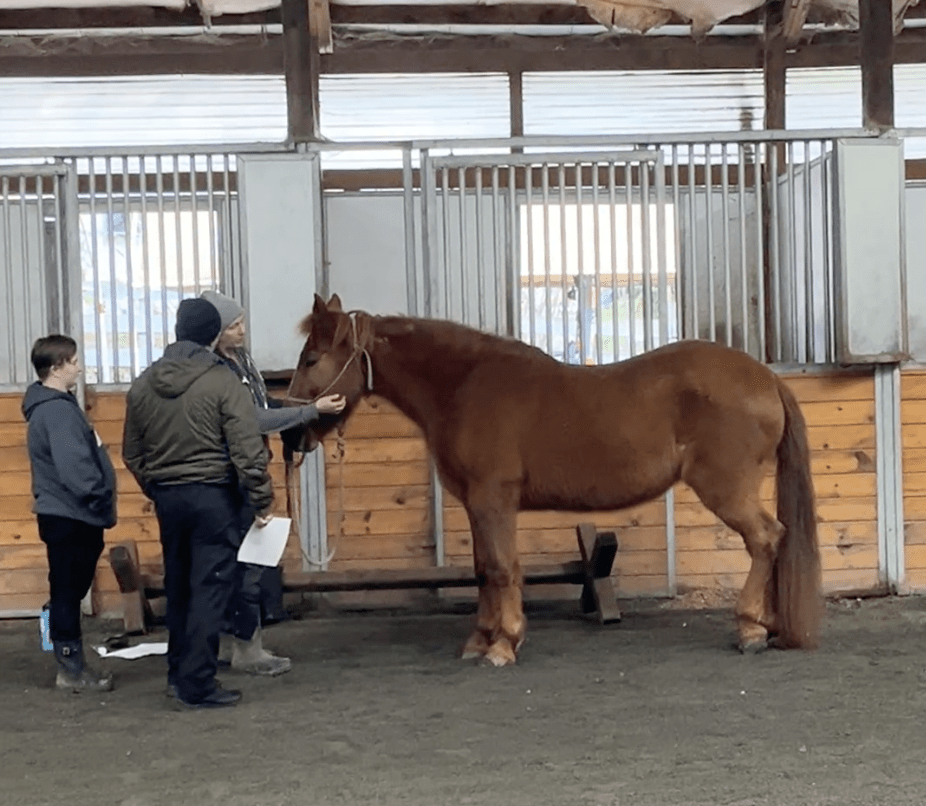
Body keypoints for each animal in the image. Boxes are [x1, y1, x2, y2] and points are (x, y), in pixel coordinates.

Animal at [292, 294, 828, 664]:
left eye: (311, 359)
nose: (294, 431)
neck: (464, 385)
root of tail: (765, 377)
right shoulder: (476, 504)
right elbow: (484, 569)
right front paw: (481, 638)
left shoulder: (493, 499)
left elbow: (502, 568)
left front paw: (504, 644)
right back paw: (770, 625)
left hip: (727, 489)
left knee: (766, 538)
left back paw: (750, 628)